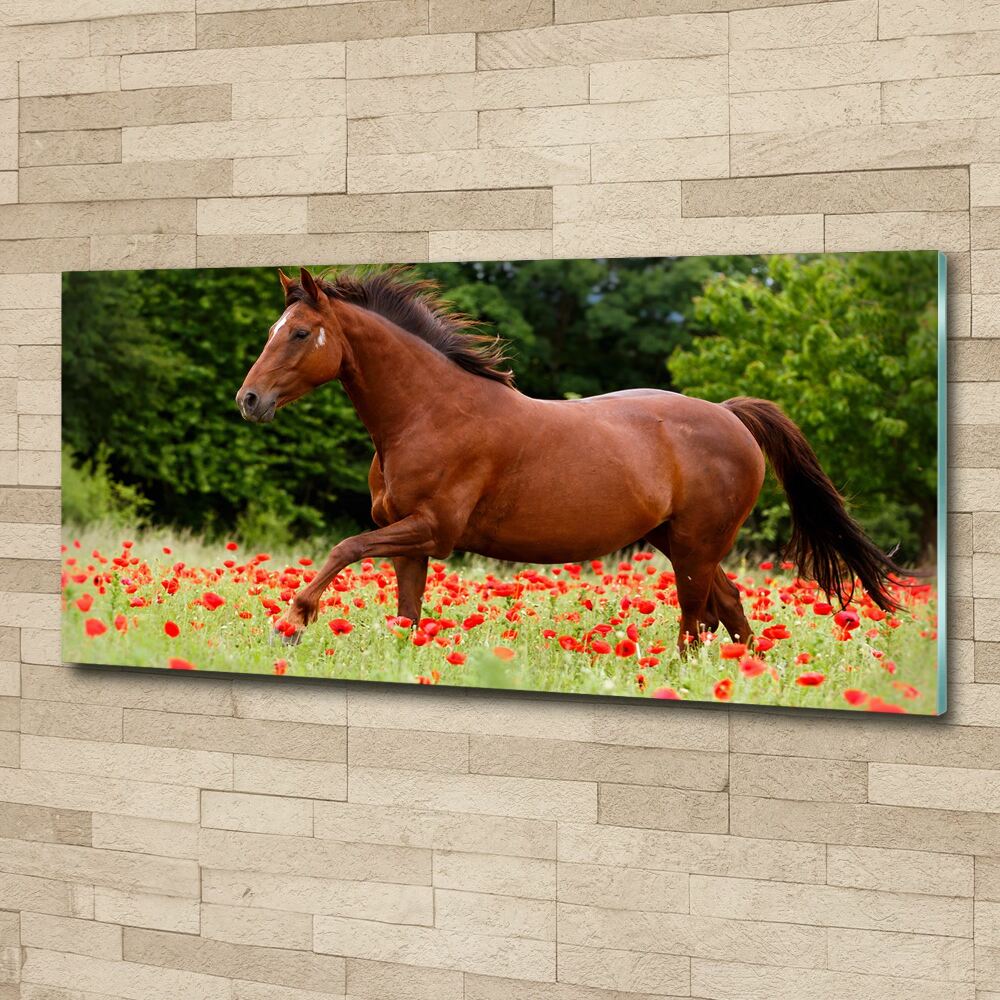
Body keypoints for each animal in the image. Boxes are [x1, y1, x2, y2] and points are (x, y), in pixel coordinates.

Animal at [236, 266, 908, 652]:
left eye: (299, 333)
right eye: (272, 329)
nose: (249, 400)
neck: (430, 411)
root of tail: (730, 415)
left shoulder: (431, 530)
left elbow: (343, 548)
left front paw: (291, 622)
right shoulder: (407, 539)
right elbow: (407, 613)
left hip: (695, 547)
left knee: (696, 622)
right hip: (683, 543)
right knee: (730, 611)